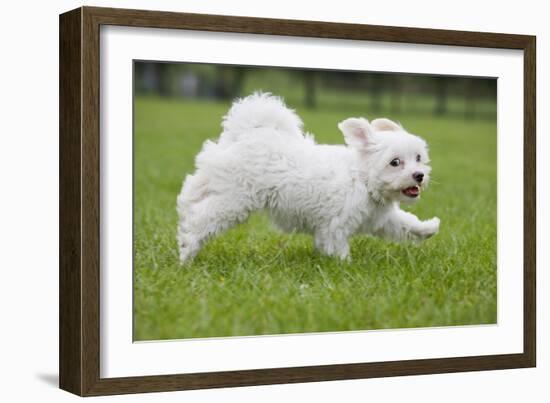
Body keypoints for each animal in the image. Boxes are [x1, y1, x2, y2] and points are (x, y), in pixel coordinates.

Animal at [179, 92, 442, 264]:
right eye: (395, 162)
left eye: (418, 157)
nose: (419, 175)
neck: (362, 178)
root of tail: (247, 132)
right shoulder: (335, 226)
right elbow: (337, 248)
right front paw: (346, 267)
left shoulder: (381, 219)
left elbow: (406, 224)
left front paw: (428, 228)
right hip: (236, 199)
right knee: (202, 218)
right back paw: (187, 250)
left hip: (218, 180)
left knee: (190, 191)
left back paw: (184, 214)